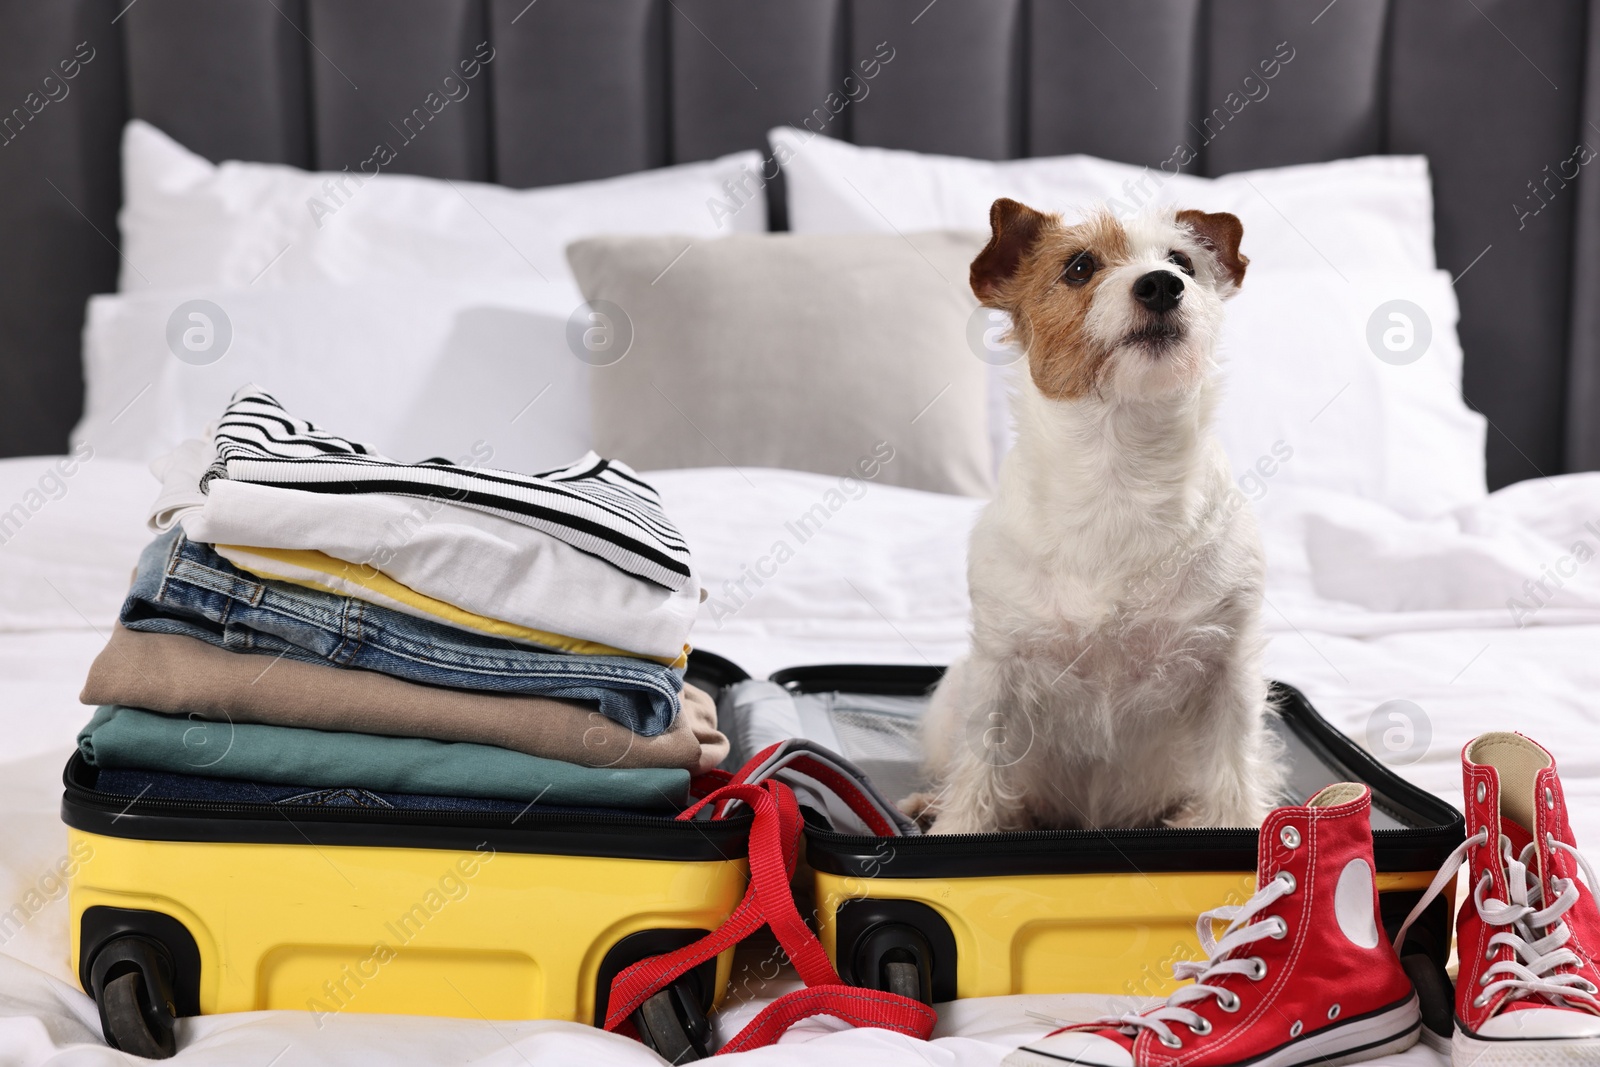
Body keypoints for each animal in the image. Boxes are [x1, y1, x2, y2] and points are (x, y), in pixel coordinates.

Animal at [921, 198, 1280, 831]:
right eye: (1080, 267)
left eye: (1182, 261)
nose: (1162, 285)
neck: (1120, 474)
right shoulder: (997, 670)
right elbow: (978, 770)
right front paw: (959, 826)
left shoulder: (1228, 669)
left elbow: (1234, 770)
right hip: (949, 698)